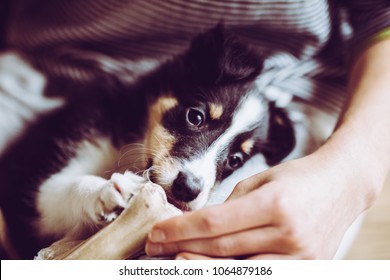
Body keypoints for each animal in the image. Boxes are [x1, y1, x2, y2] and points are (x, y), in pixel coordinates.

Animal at [0, 25, 294, 260]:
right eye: (195, 116)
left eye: (235, 160)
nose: (188, 189)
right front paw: (107, 189)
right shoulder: (31, 190)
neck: (131, 144)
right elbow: (65, 189)